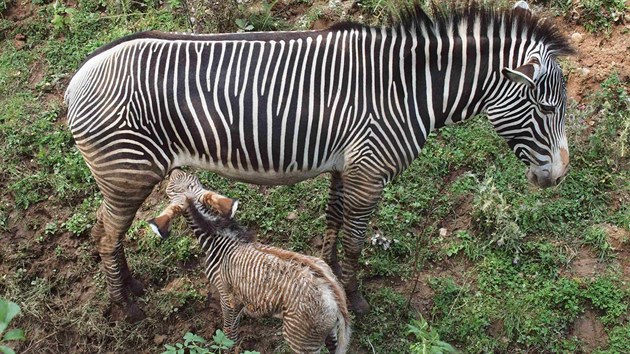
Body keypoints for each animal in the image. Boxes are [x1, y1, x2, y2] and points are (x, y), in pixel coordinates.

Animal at [65, 0, 576, 320]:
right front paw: (354, 296)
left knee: (102, 230)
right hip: (127, 174)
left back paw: (129, 288)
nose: (559, 176)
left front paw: (329, 276)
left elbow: (333, 224)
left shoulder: (345, 168)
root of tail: (78, 77)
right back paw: (127, 307)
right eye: (547, 108)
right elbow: (355, 239)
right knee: (107, 235)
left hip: (120, 177)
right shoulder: (369, 171)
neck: (408, 89)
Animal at [151, 170, 354, 352]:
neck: (218, 239)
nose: (172, 170)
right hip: (324, 331)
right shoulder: (239, 292)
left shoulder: (225, 292)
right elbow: (238, 316)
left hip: (301, 339)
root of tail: (335, 297)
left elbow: (228, 328)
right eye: (190, 176)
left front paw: (227, 346)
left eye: (168, 190)